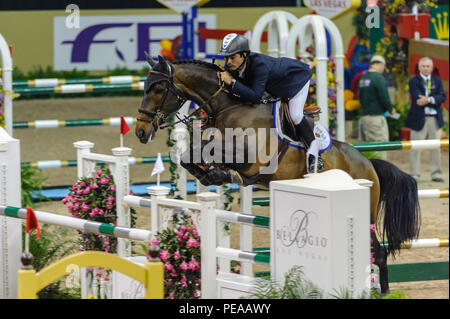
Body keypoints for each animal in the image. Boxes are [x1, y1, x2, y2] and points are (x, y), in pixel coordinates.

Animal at [135, 55, 420, 298]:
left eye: (158, 89)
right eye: (146, 87)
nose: (140, 132)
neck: (229, 106)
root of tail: (368, 164)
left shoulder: (251, 155)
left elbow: (211, 151)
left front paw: (217, 172)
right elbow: (192, 154)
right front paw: (209, 174)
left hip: (367, 213)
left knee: (378, 252)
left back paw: (383, 291)